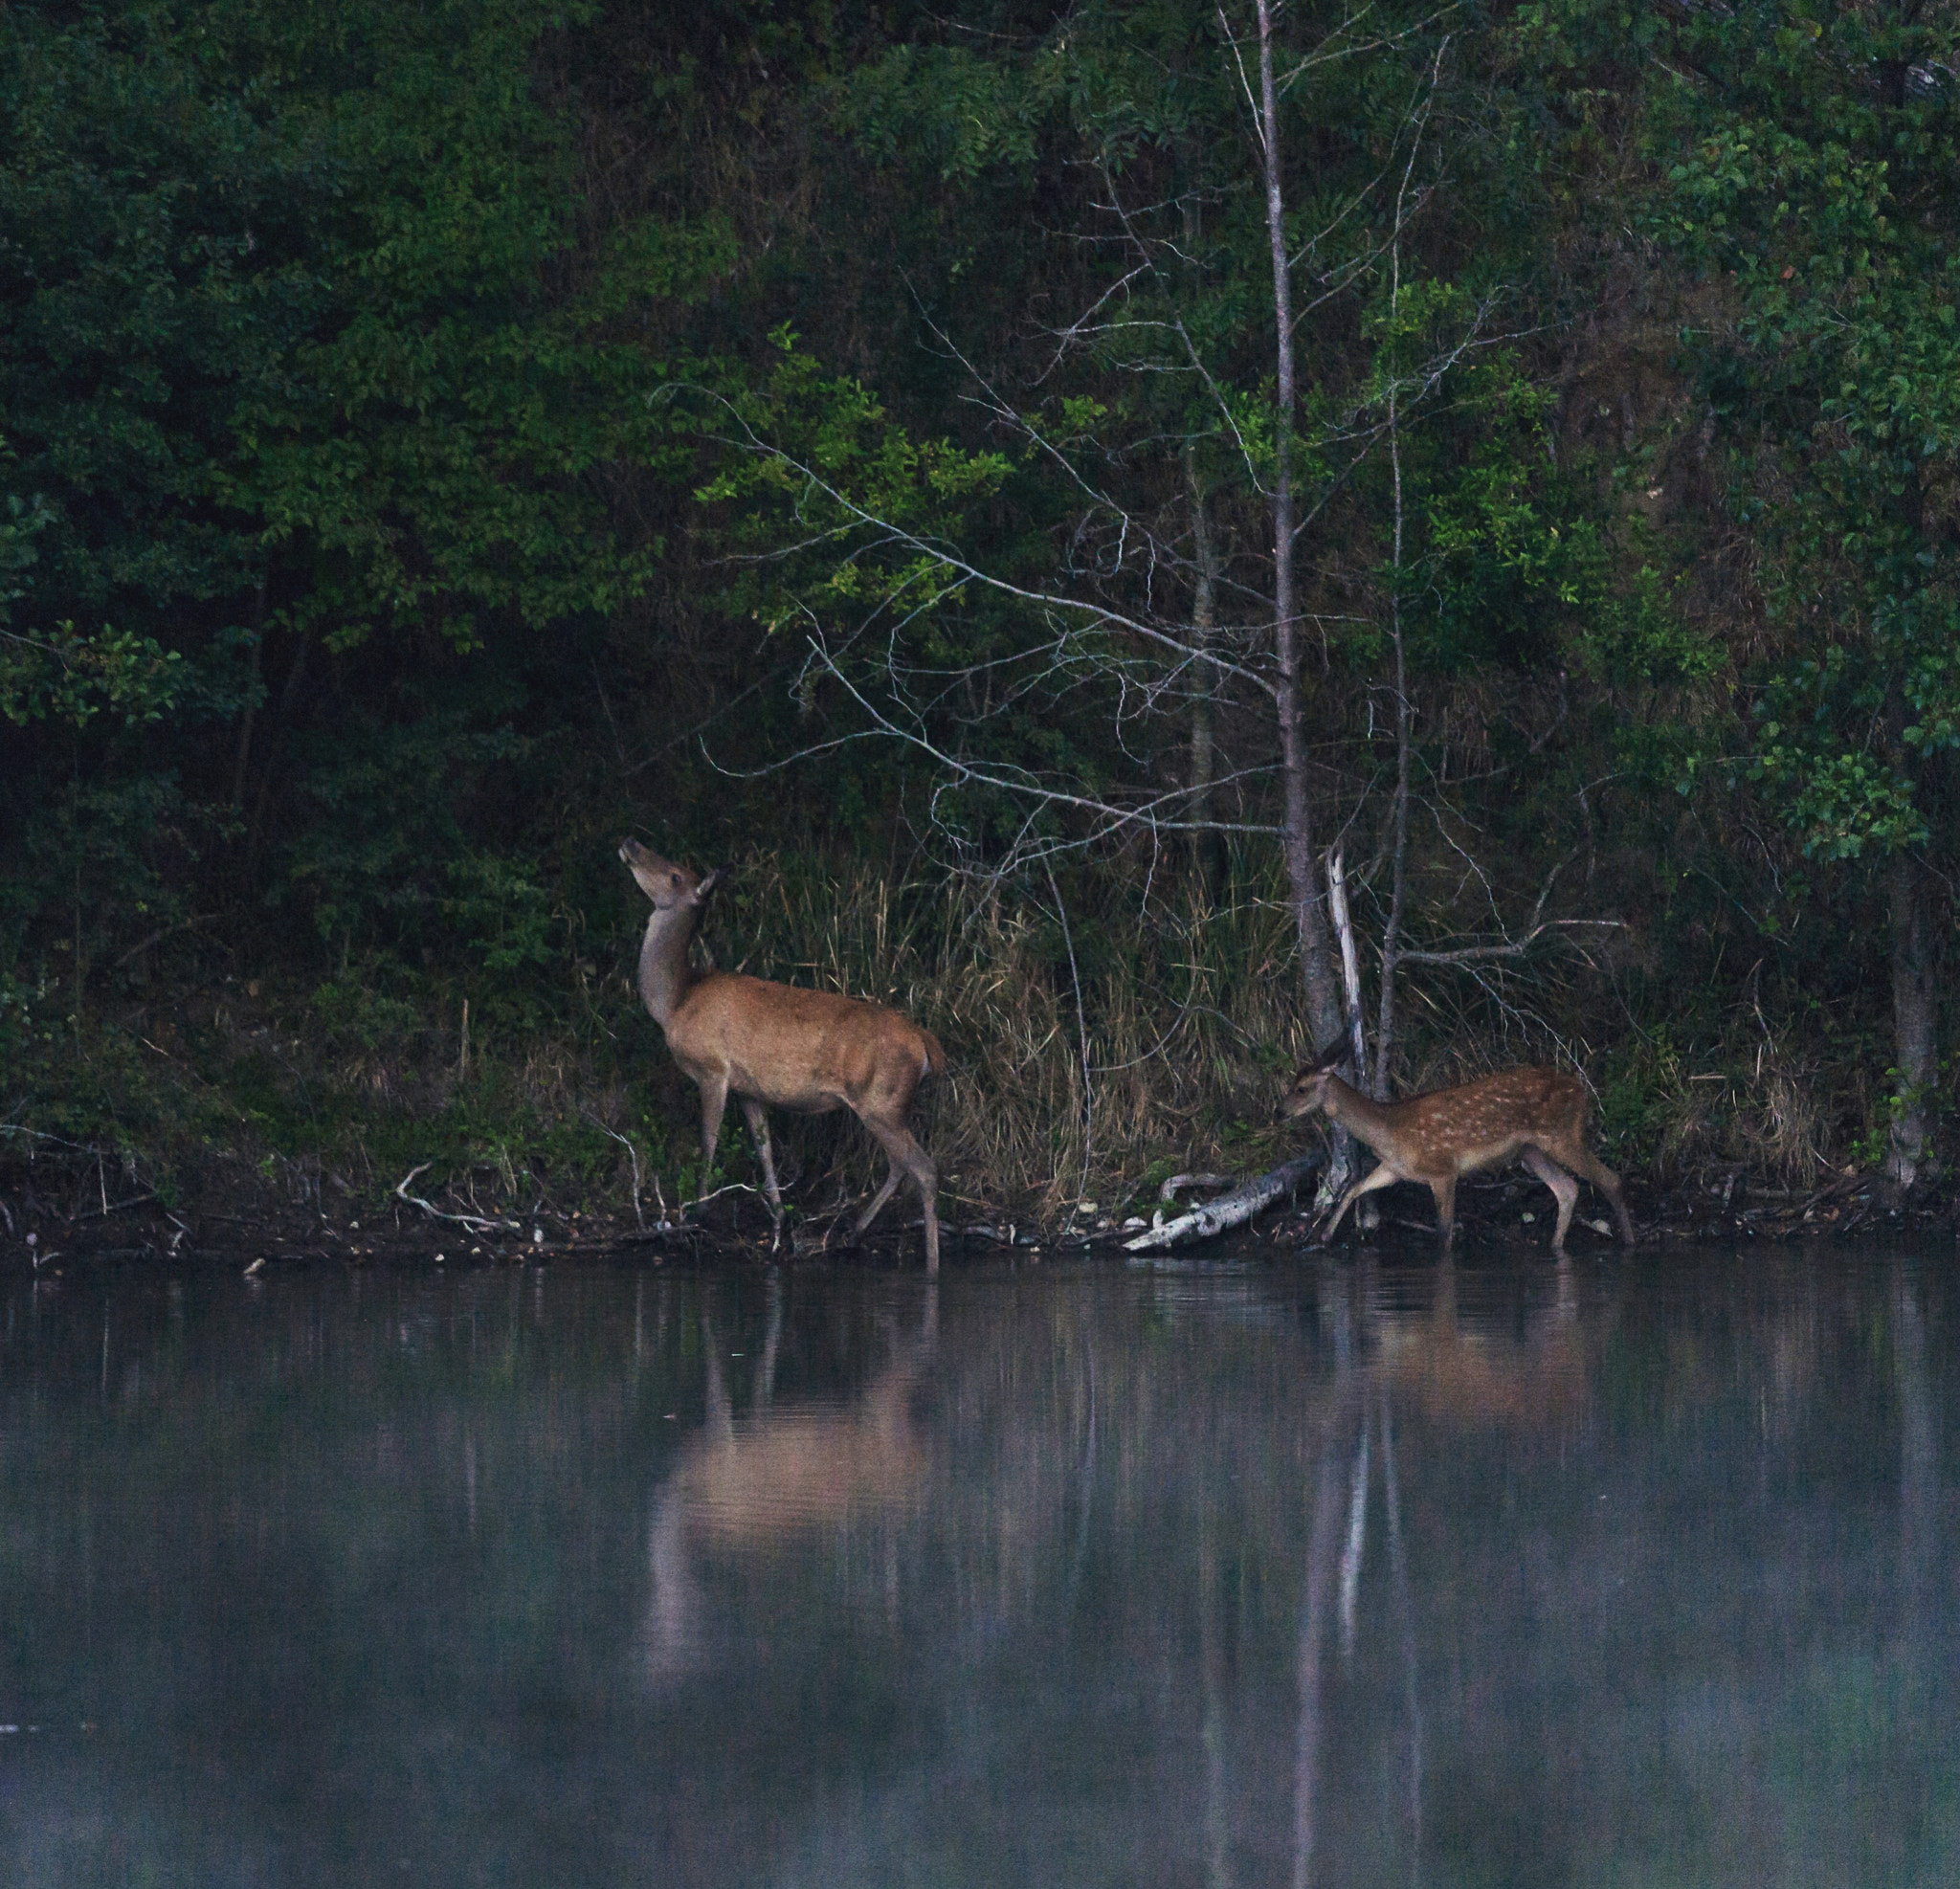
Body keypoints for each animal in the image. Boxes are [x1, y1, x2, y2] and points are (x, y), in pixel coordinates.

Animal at [615, 846, 945, 1269]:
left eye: (675, 875)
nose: (630, 843)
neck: (676, 1001)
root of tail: (926, 1045)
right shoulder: (749, 1089)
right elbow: (765, 1150)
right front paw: (778, 1219)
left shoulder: (712, 1069)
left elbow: (708, 1142)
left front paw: (696, 1214)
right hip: (887, 1105)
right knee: (901, 1165)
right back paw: (854, 1231)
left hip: (881, 1100)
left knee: (924, 1168)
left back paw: (930, 1263)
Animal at [1285, 1050, 1638, 1254]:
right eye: (1292, 1083)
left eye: (1301, 1088)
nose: (1280, 1110)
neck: (1388, 1129)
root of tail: (1582, 1090)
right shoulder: (1394, 1170)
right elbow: (1354, 1188)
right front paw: (1324, 1236)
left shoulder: (1443, 1168)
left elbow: (1444, 1234)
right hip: (1531, 1149)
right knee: (1567, 1188)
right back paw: (1555, 1246)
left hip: (1563, 1135)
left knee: (1610, 1179)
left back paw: (1630, 1243)